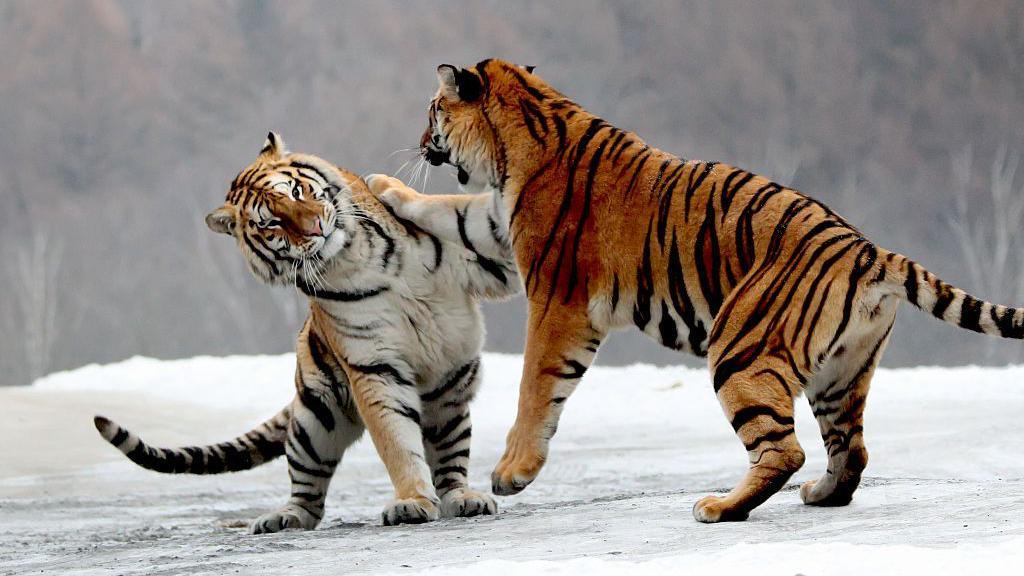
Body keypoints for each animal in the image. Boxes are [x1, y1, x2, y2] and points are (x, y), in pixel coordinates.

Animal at [94, 132, 520, 533]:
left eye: (296, 191)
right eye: (270, 222)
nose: (315, 227)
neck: (352, 254)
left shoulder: (490, 264)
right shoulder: (373, 365)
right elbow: (396, 440)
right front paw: (411, 500)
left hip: (448, 401)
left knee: (450, 463)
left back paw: (463, 498)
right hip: (314, 421)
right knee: (307, 491)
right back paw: (283, 518)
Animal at [376, 58, 1024, 523]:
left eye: (433, 109)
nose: (419, 137)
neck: (519, 142)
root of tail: (867, 249)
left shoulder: (554, 298)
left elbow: (536, 388)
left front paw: (512, 473)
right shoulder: (498, 232)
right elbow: (451, 209)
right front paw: (385, 187)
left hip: (741, 347)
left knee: (783, 449)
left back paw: (719, 507)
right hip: (843, 372)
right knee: (852, 448)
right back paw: (821, 494)